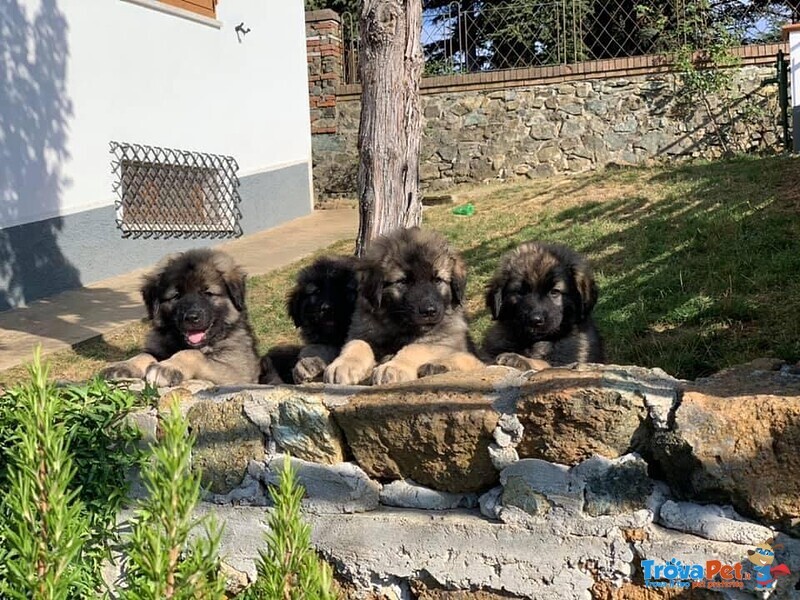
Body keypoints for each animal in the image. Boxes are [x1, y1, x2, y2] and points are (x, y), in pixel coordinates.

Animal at [322, 225, 484, 384]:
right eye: (403, 281)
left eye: (437, 280)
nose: (429, 311)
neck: (399, 329)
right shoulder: (364, 332)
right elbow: (357, 343)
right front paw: (343, 364)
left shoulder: (442, 342)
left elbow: (415, 348)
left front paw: (393, 367)